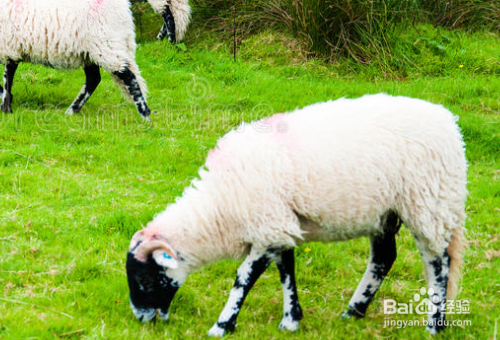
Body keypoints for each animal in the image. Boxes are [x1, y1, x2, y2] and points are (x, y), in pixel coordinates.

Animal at [0, 0, 150, 118]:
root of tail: (125, 10)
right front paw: (5, 104)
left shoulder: (9, 48)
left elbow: (7, 80)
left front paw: (6, 108)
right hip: (91, 53)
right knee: (94, 79)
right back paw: (72, 111)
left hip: (105, 44)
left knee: (128, 76)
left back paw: (145, 114)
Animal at [125, 94, 468, 336]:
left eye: (144, 279)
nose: (141, 319)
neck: (221, 207)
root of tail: (449, 123)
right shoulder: (279, 226)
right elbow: (286, 271)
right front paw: (291, 320)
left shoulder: (267, 224)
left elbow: (244, 277)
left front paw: (222, 326)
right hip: (385, 212)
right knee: (384, 258)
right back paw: (353, 312)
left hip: (428, 203)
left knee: (439, 263)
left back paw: (434, 325)